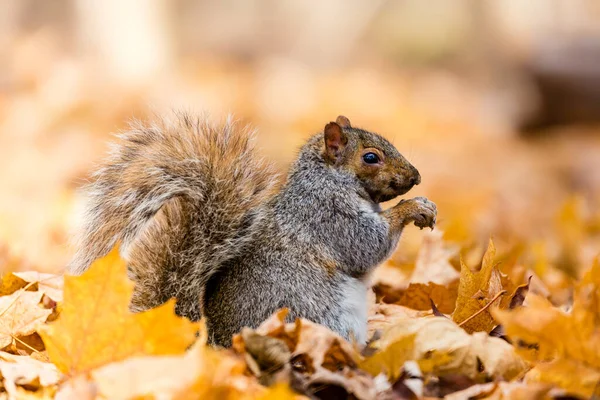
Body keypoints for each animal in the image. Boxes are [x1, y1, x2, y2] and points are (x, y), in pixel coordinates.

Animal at [69, 113, 436, 346]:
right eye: (371, 157)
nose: (416, 176)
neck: (326, 179)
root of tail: (215, 345)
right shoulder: (329, 216)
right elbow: (368, 245)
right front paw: (413, 208)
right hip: (313, 315)